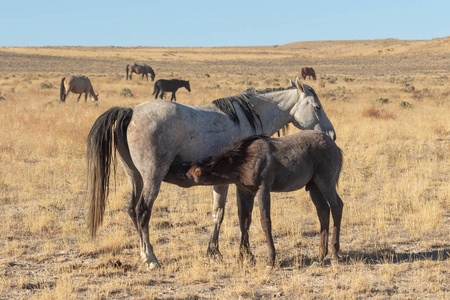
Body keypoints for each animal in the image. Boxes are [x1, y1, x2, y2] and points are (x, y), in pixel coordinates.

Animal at [174, 131, 342, 268]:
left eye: (183, 173)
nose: (172, 168)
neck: (244, 160)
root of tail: (334, 146)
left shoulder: (263, 190)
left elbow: (265, 222)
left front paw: (271, 260)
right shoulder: (245, 191)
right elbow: (244, 221)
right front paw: (241, 258)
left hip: (326, 183)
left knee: (337, 207)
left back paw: (334, 254)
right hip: (314, 186)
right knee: (323, 211)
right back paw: (321, 256)